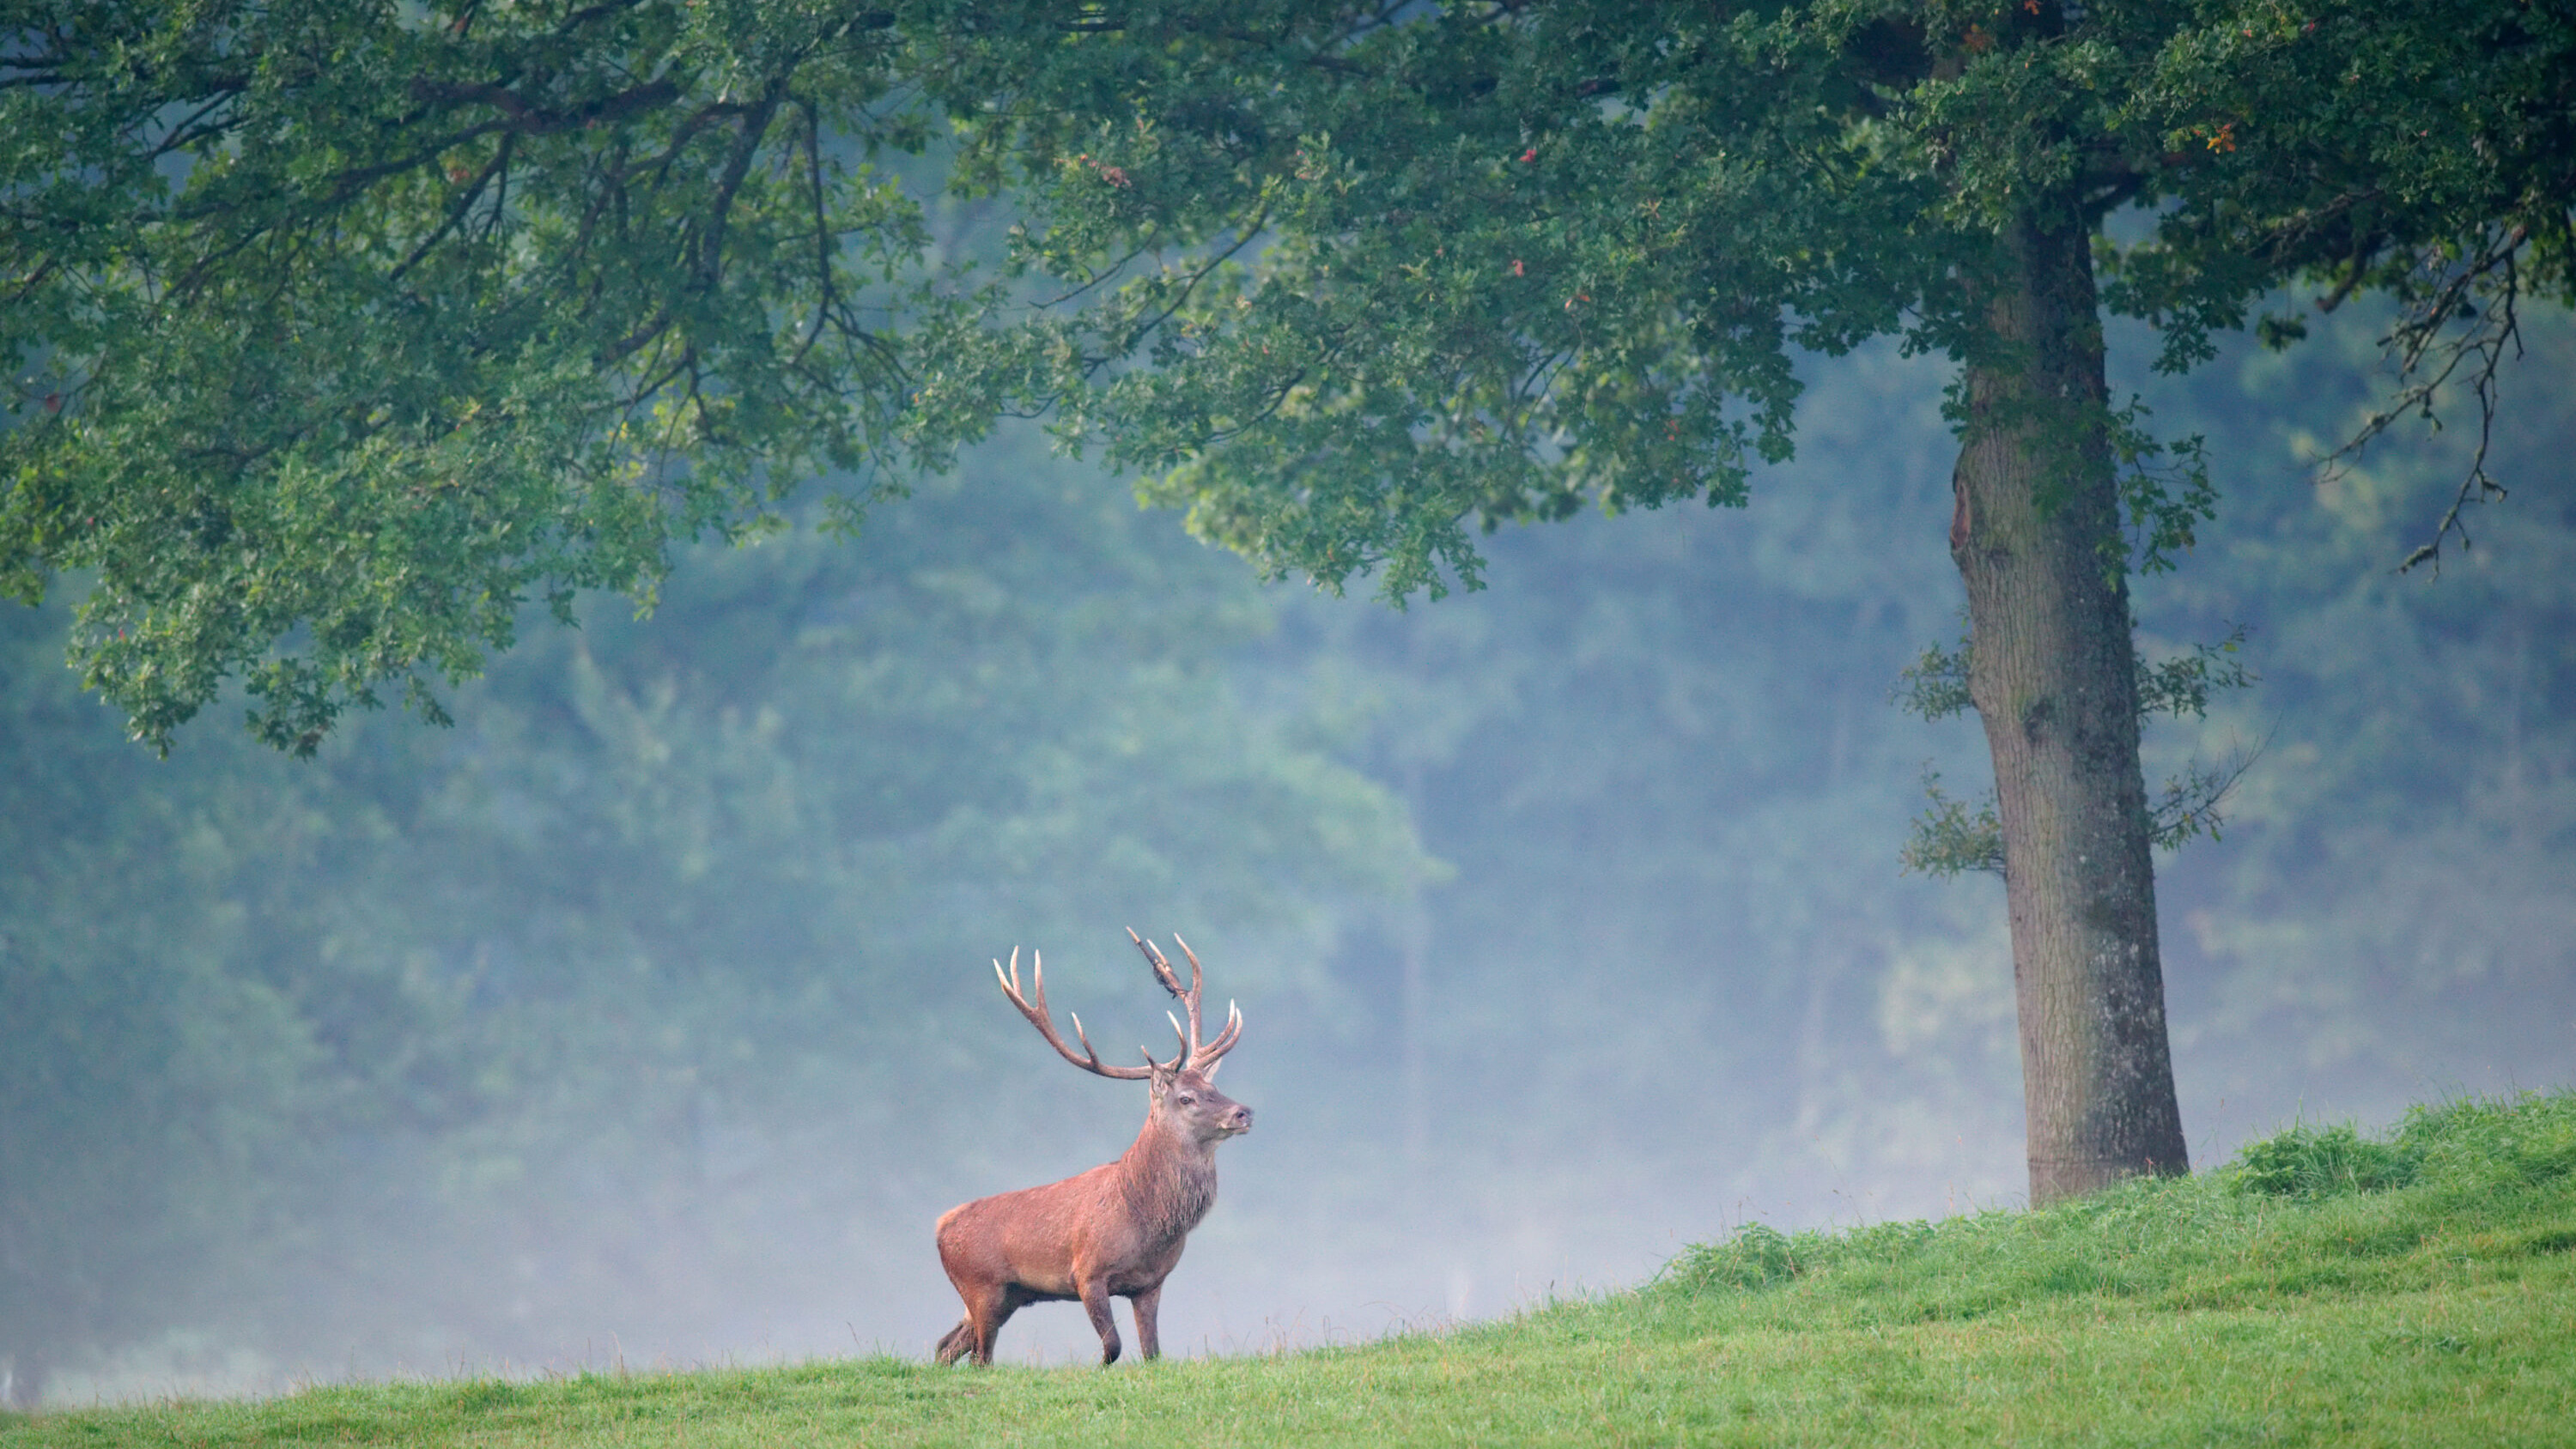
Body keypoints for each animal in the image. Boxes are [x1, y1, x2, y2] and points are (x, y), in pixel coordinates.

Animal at [932, 930, 1251, 1367]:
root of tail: (940, 1227)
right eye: (1186, 1098)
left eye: (1214, 1087)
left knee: (945, 1347)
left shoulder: (1150, 1283)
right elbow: (1113, 1346)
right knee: (979, 1357)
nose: (1243, 1112)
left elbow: (1153, 1353)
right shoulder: (1087, 1273)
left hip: (1007, 1296)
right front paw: (1095, 1368)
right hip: (981, 1287)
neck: (1147, 1221)